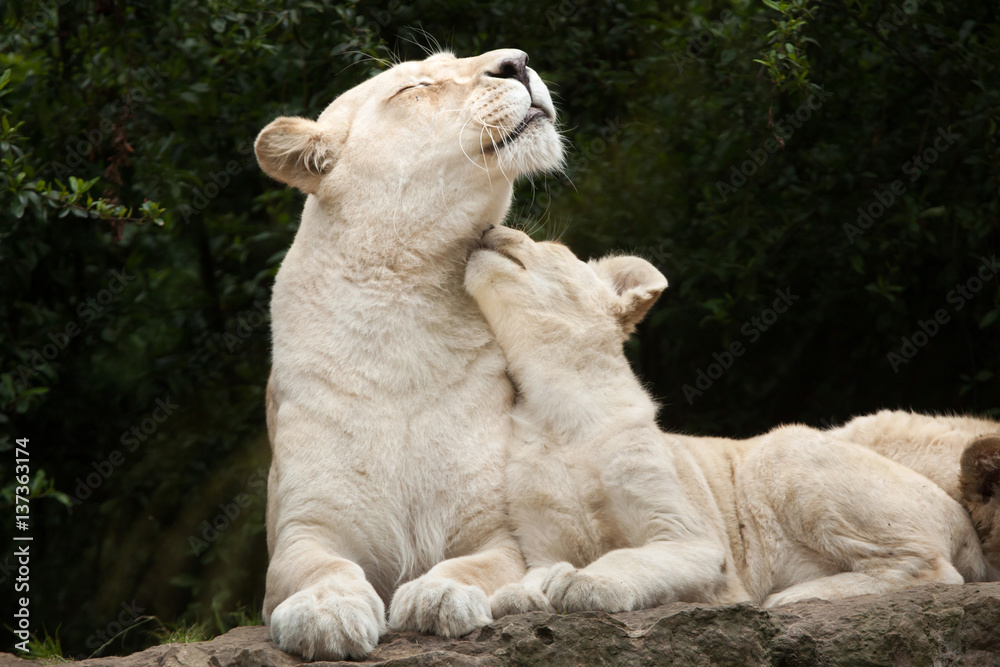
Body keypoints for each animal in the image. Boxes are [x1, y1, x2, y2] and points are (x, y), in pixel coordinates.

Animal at [254, 50, 563, 660]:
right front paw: (326, 613)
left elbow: (482, 565)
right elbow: (318, 569)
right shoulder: (303, 527)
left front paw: (439, 595)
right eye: (414, 87)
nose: (518, 62)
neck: (406, 296)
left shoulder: (505, 529)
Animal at [464, 227, 997, 615]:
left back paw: (792, 598)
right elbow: (536, 569)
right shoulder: (540, 539)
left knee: (933, 568)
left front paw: (581, 581)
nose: (487, 226)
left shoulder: (693, 535)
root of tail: (963, 518)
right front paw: (518, 594)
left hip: (785, 454)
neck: (556, 404)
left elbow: (634, 555)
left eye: (551, 245)